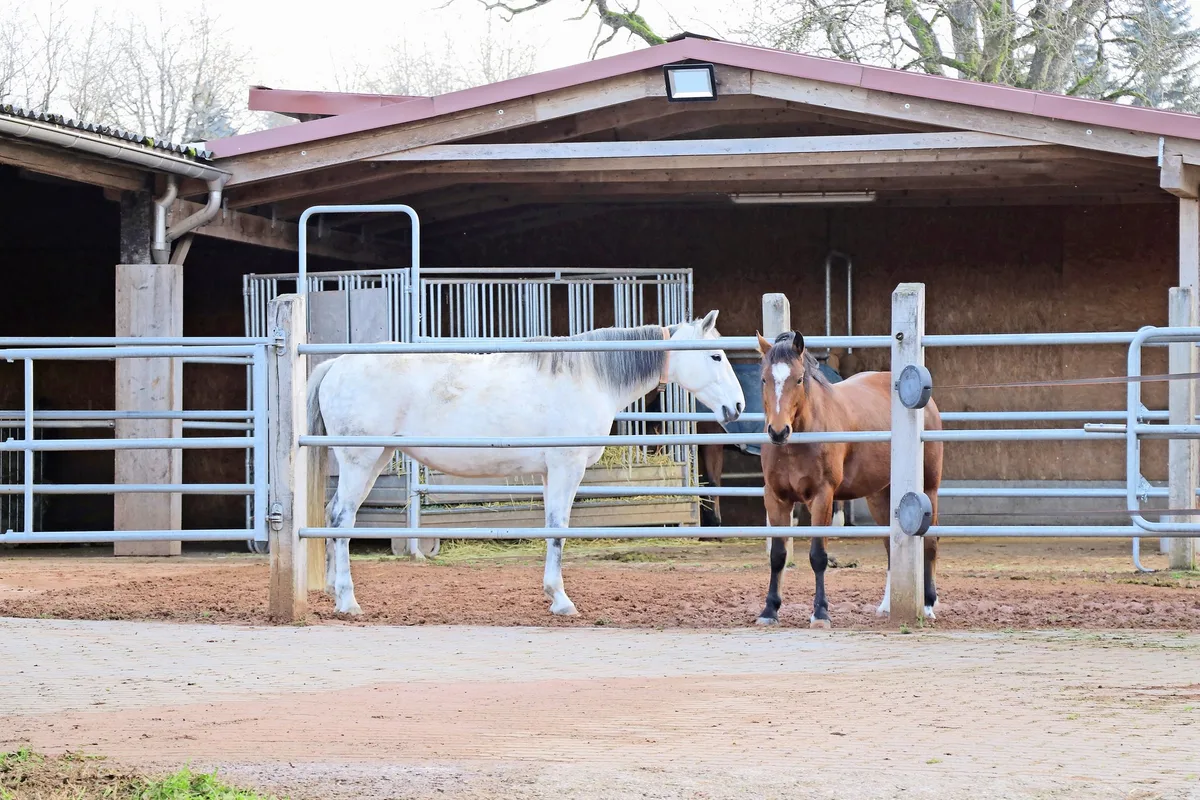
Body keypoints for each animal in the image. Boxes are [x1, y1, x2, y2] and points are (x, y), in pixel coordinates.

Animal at [306, 311, 746, 616]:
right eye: (716, 356)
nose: (738, 406)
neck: (588, 375)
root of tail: (336, 365)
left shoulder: (551, 473)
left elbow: (553, 529)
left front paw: (553, 595)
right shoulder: (568, 469)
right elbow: (558, 530)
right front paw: (562, 600)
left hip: (373, 461)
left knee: (332, 515)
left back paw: (330, 589)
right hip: (361, 461)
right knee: (342, 519)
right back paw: (348, 601)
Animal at [754, 331, 943, 628]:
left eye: (799, 379)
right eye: (764, 379)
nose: (778, 431)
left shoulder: (823, 497)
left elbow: (818, 556)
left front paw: (821, 613)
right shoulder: (776, 498)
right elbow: (778, 556)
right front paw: (769, 610)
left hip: (929, 489)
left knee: (930, 543)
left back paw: (927, 604)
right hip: (881, 497)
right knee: (890, 546)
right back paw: (887, 605)